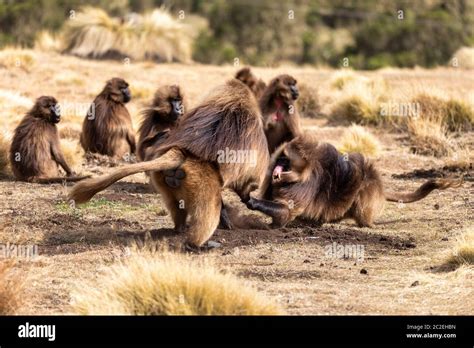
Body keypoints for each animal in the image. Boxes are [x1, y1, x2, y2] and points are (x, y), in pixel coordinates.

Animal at [248, 136, 462, 228]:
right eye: (280, 159)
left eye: (286, 161)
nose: (277, 169)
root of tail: (380, 186)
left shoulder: (302, 188)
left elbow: (286, 213)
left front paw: (252, 202)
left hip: (366, 190)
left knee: (361, 198)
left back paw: (367, 225)